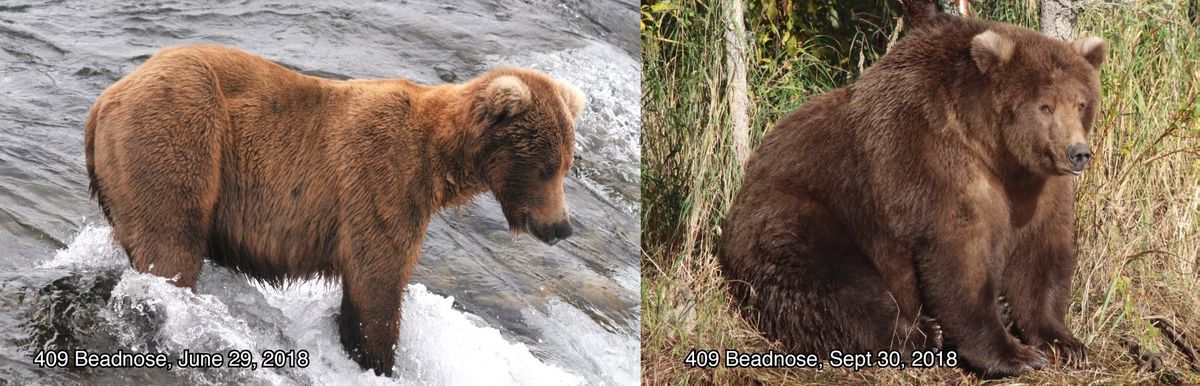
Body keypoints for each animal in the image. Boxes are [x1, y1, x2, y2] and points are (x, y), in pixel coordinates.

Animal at [84, 43, 585, 376]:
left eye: (566, 164)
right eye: (546, 168)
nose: (561, 226)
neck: (439, 161)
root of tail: (104, 101)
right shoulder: (381, 181)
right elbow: (377, 283)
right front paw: (379, 360)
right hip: (181, 133)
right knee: (170, 248)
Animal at [715, 14, 1099, 376]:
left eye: (1080, 103)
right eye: (1045, 106)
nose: (1078, 153)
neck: (994, 151)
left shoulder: (1037, 188)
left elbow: (1041, 255)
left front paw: (1065, 342)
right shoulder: (930, 160)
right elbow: (958, 257)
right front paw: (1013, 354)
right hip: (800, 214)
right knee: (837, 285)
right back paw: (922, 333)